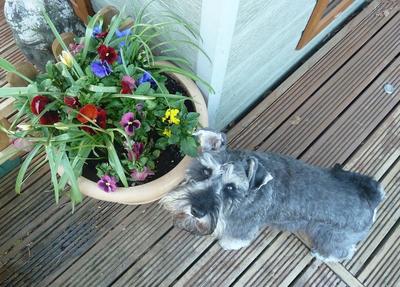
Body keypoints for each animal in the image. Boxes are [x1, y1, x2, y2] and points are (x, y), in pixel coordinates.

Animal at [161, 130, 386, 264]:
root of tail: (372, 199)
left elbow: (236, 239)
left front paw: (227, 244)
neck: (248, 194)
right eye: (205, 171)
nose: (197, 210)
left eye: (231, 187)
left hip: (332, 237)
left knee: (342, 251)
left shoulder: (243, 227)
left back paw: (323, 255)